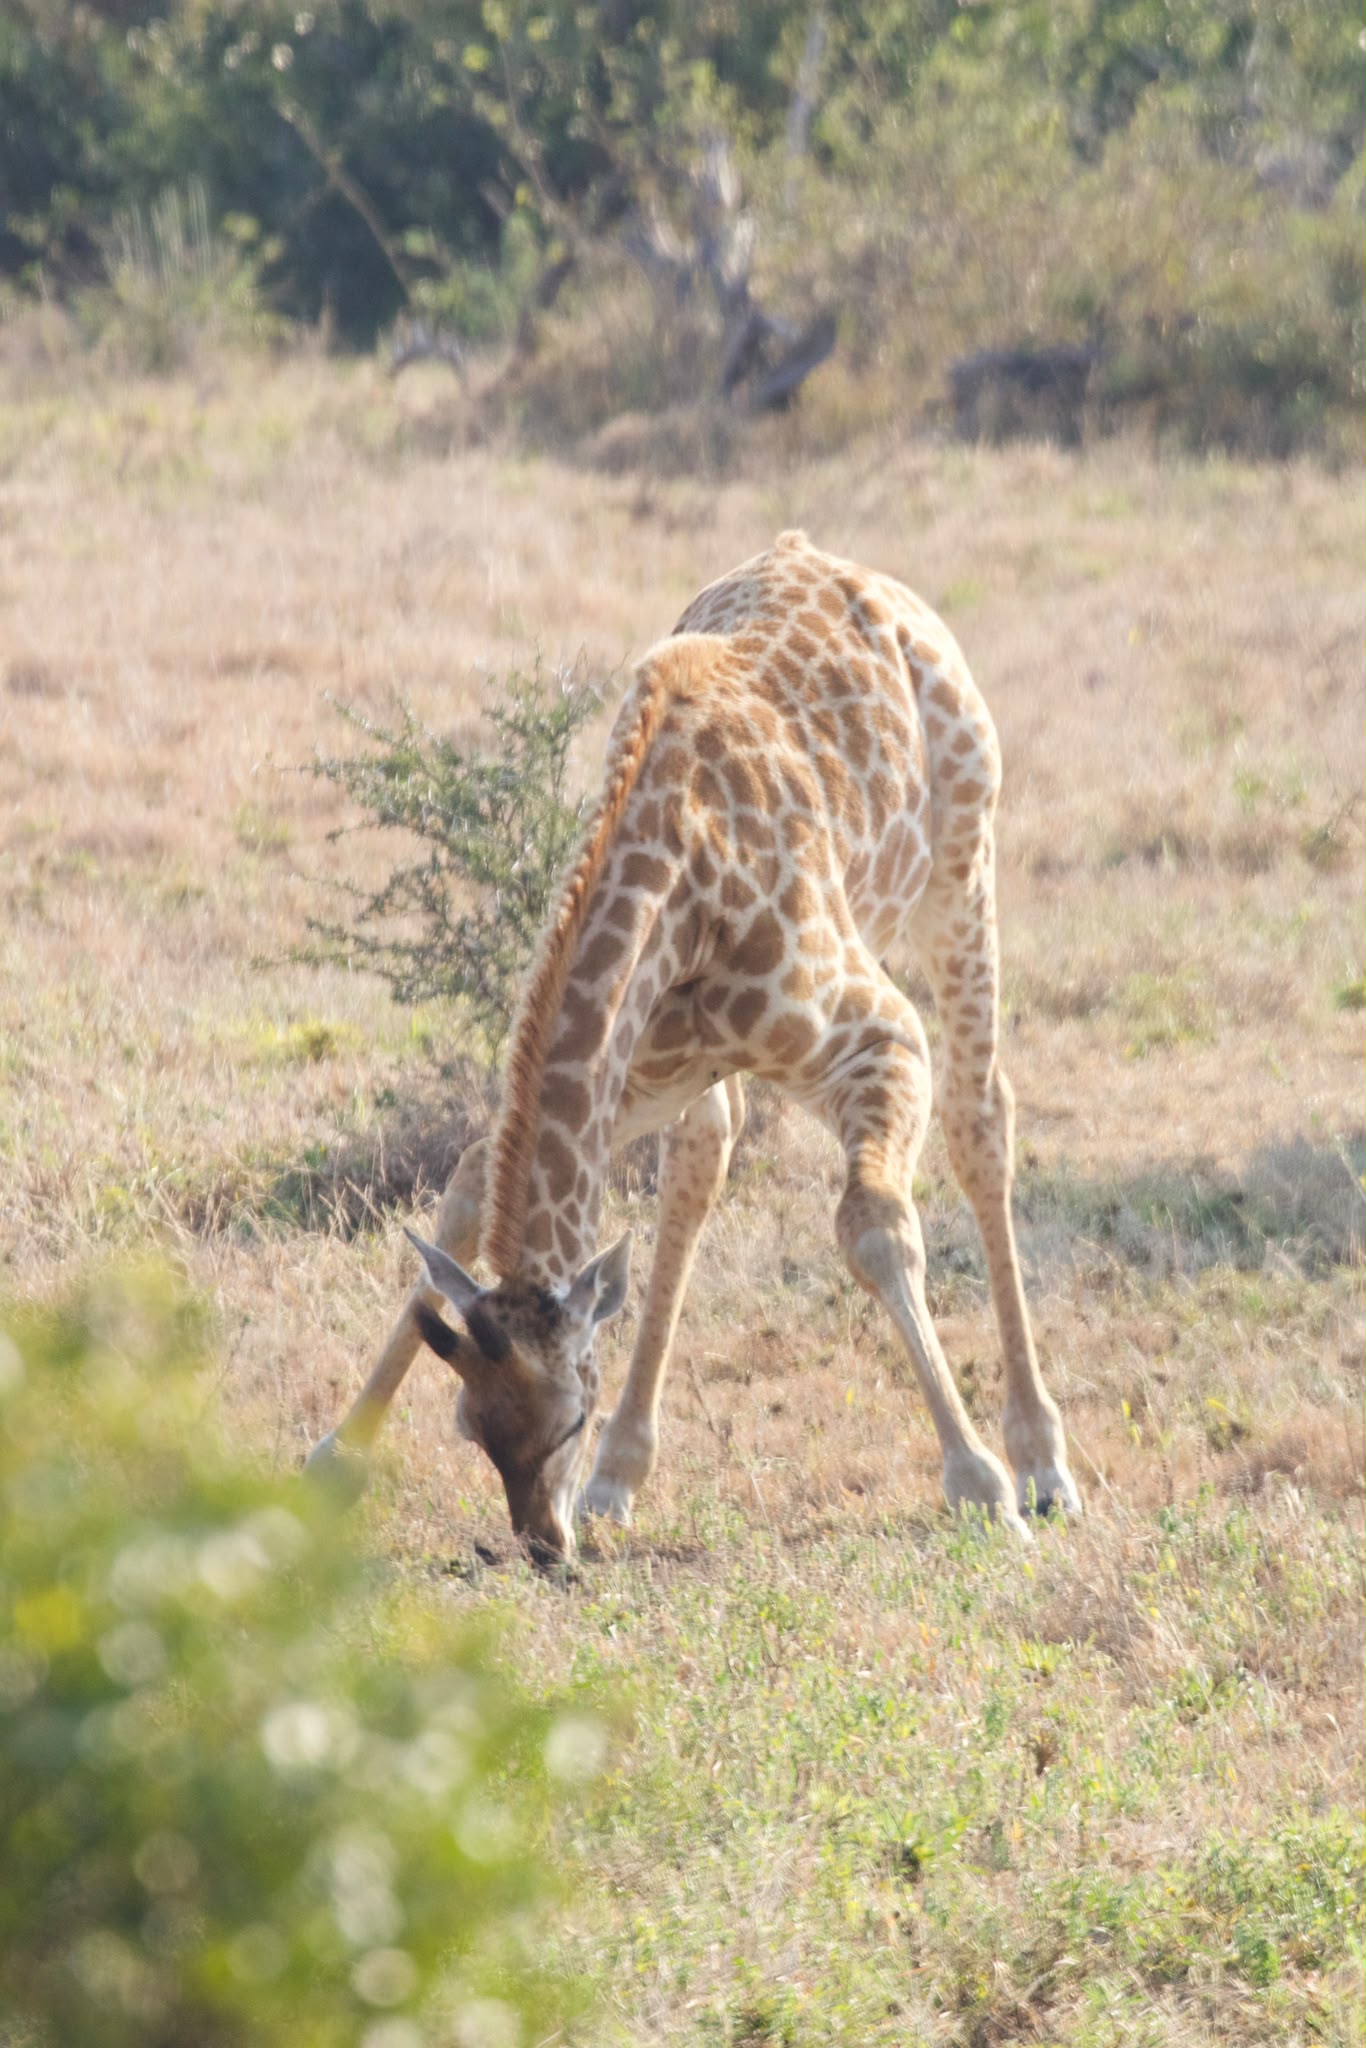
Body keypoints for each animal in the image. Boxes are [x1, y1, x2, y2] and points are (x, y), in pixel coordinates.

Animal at [306, 532, 1081, 1559]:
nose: (543, 1546)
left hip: (962, 871)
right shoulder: (632, 1070)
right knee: (703, 1158)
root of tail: (839, 560)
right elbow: (471, 1181)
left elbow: (874, 1227)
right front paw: (337, 1455)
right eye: (470, 1427)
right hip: (702, 1067)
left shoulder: (878, 1035)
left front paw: (980, 1484)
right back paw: (621, 1478)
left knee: (980, 1119)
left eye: (570, 1416)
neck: (679, 870)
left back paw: (1043, 1463)